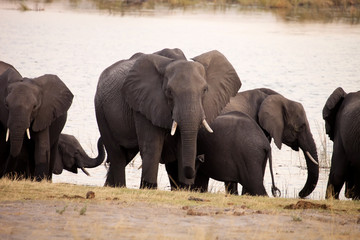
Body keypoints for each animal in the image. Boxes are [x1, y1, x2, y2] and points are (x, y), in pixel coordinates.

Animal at [95, 48, 242, 188]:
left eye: (205, 90)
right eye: (169, 92)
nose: (201, 159)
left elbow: (182, 145)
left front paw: (184, 187)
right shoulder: (144, 104)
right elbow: (152, 146)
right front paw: (149, 187)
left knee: (127, 155)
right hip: (100, 109)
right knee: (117, 155)